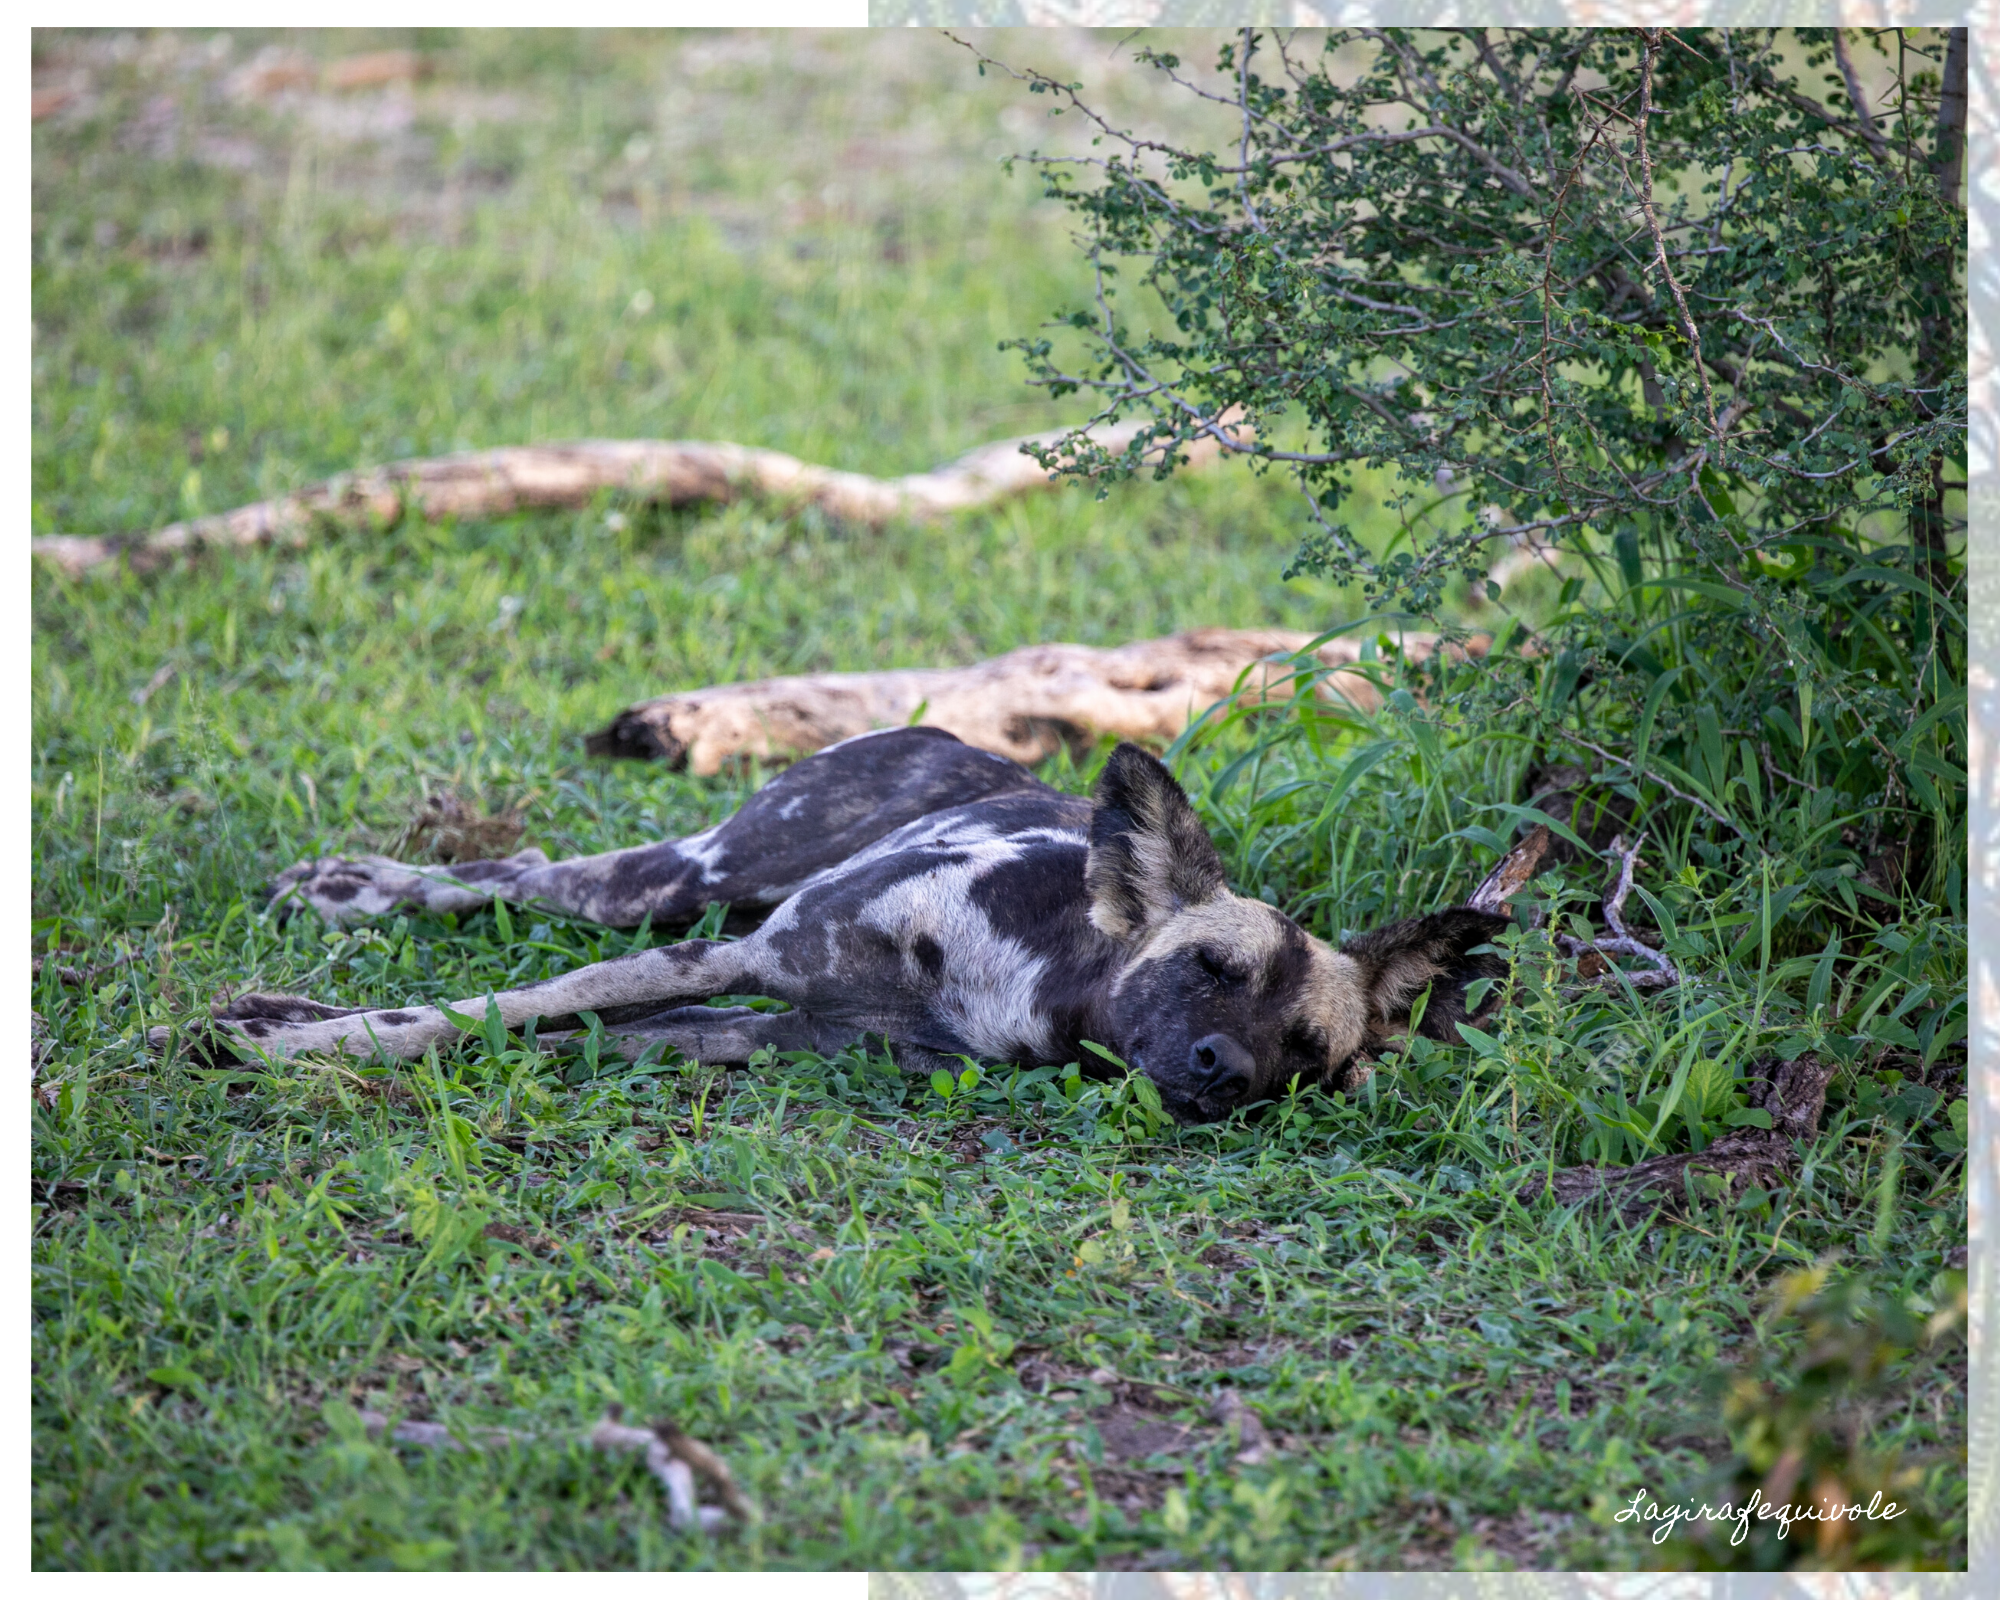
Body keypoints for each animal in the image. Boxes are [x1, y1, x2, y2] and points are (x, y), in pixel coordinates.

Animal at [195, 728, 1504, 1128]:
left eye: (1310, 1054)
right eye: (1208, 965)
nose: (1224, 1069)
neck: (1040, 983)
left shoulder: (759, 1028)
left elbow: (546, 1033)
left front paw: (279, 1027)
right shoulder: (739, 952)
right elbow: (476, 1010)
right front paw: (296, 1048)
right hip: (685, 884)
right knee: (526, 876)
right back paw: (348, 892)